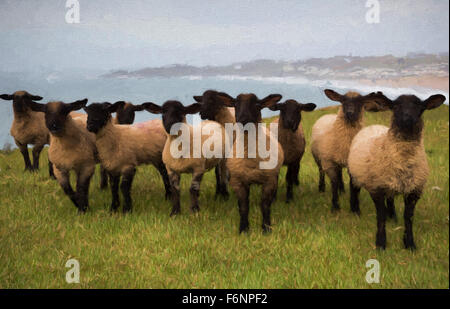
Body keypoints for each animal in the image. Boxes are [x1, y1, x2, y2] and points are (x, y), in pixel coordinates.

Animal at [209, 92, 284, 232]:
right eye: (235, 104)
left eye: (257, 104)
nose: (243, 119)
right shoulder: (238, 182)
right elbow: (243, 206)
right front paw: (244, 229)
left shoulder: (269, 181)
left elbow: (265, 205)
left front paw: (266, 229)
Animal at [346, 92, 444, 249]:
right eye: (396, 106)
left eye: (420, 107)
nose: (407, 118)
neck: (404, 161)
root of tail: (374, 126)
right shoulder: (377, 188)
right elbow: (380, 217)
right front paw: (381, 244)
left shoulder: (414, 191)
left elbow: (408, 218)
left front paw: (410, 244)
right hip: (355, 174)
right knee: (354, 189)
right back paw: (355, 211)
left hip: (390, 182)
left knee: (390, 199)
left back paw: (393, 217)